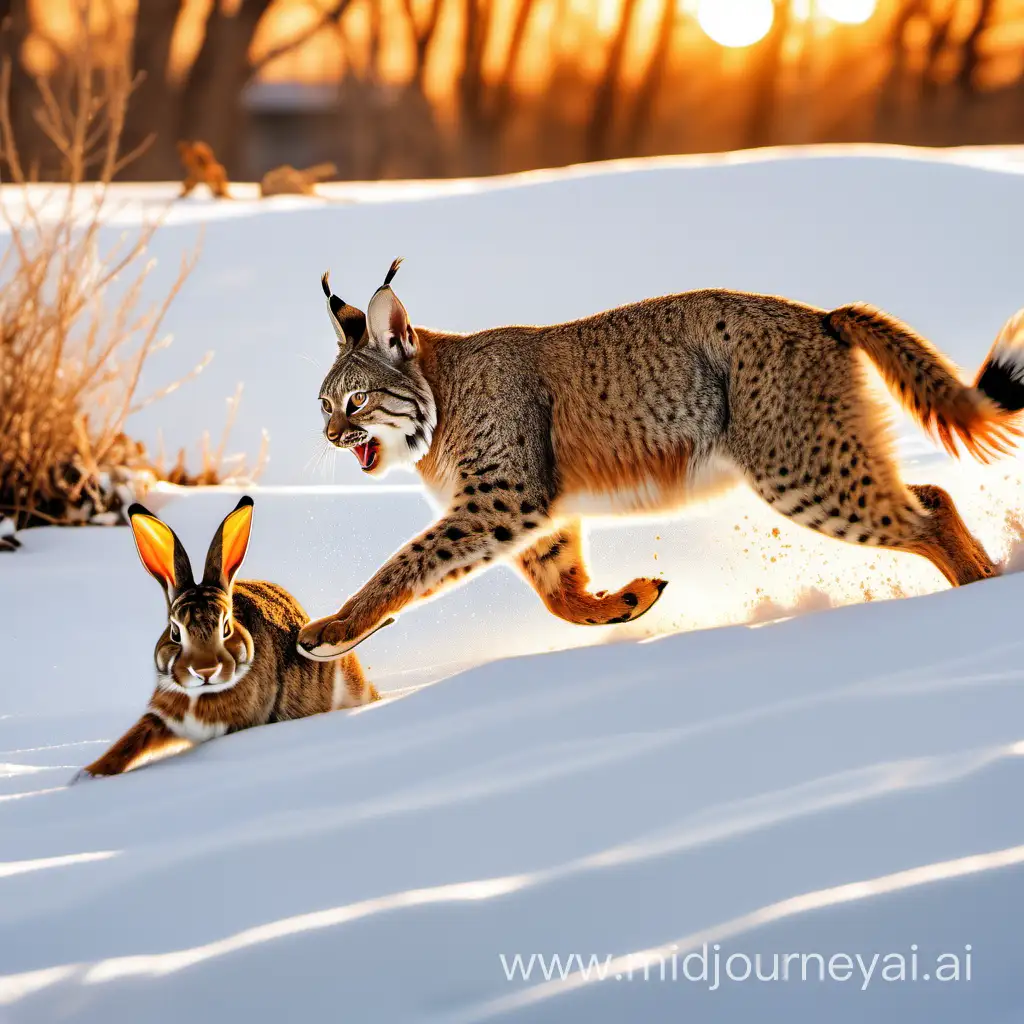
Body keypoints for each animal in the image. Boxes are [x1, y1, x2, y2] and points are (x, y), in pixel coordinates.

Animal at [73, 493, 376, 774]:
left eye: (226, 627)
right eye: (175, 632)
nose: (205, 670)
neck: (200, 695)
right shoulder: (162, 716)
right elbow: (130, 743)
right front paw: (88, 775)